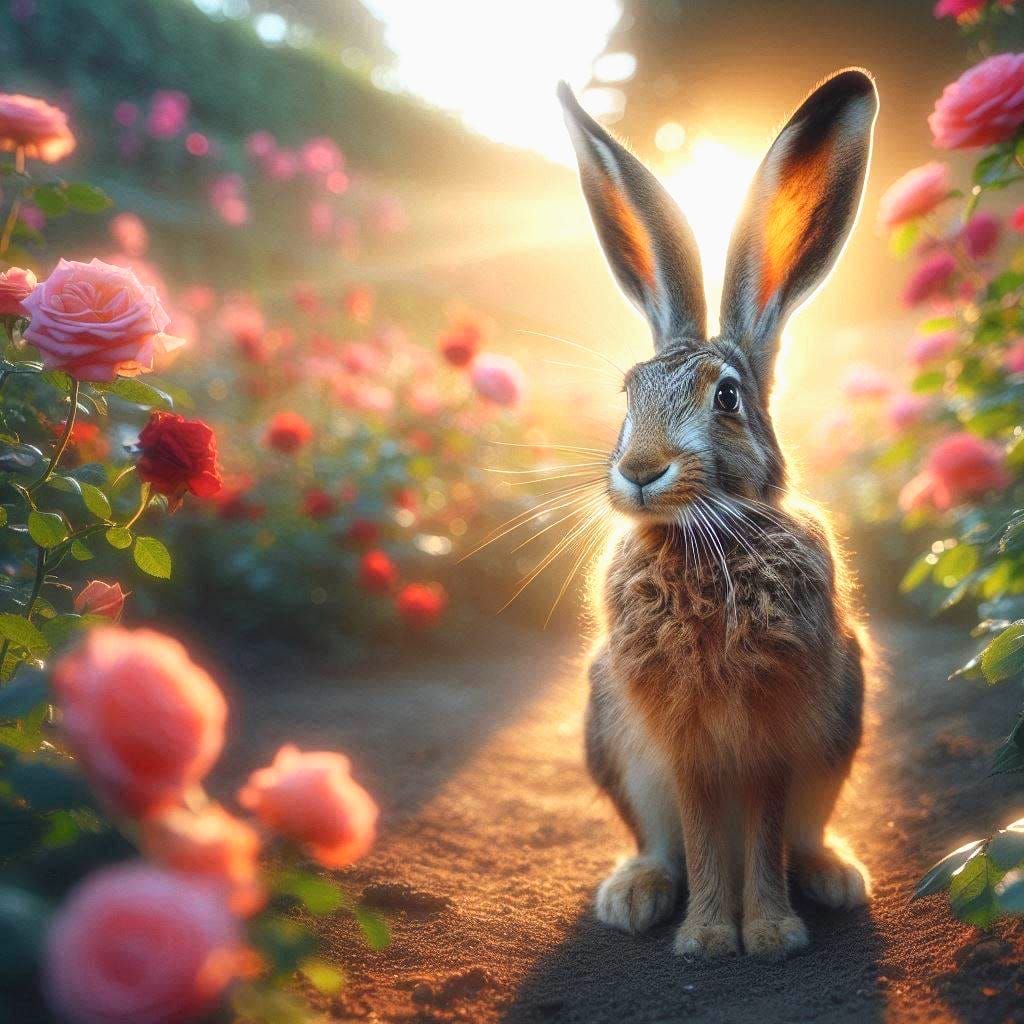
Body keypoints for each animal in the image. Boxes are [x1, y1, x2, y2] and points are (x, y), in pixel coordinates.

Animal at [558, 68, 879, 959]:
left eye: (727, 399)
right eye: (628, 395)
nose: (639, 472)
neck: (708, 539)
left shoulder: (775, 729)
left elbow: (763, 829)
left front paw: (767, 935)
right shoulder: (683, 741)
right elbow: (701, 833)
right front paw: (707, 938)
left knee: (799, 836)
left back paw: (833, 878)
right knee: (663, 845)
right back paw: (635, 893)